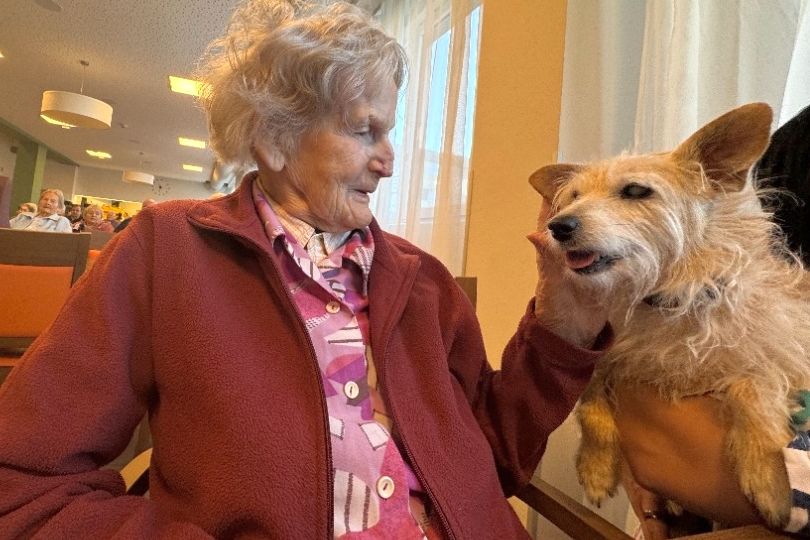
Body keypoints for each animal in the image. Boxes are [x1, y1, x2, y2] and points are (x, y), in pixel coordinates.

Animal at [528, 102, 810, 528]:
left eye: (635, 191)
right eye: (574, 196)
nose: (557, 226)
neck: (667, 300)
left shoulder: (784, 360)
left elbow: (754, 384)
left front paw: (771, 482)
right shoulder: (609, 355)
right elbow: (591, 400)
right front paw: (595, 468)